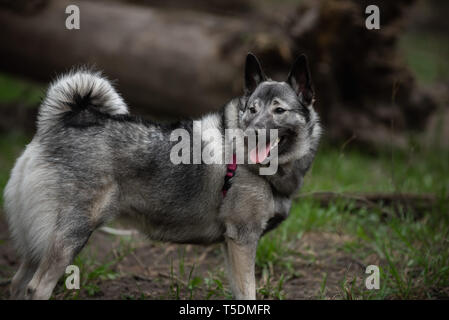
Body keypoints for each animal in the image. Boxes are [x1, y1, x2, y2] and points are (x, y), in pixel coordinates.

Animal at [2, 53, 318, 300]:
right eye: (252, 110)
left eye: (279, 110)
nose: (252, 131)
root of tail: (55, 126)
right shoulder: (243, 238)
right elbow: (248, 291)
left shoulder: (232, 245)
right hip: (71, 235)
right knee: (36, 288)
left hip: (39, 241)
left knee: (18, 283)